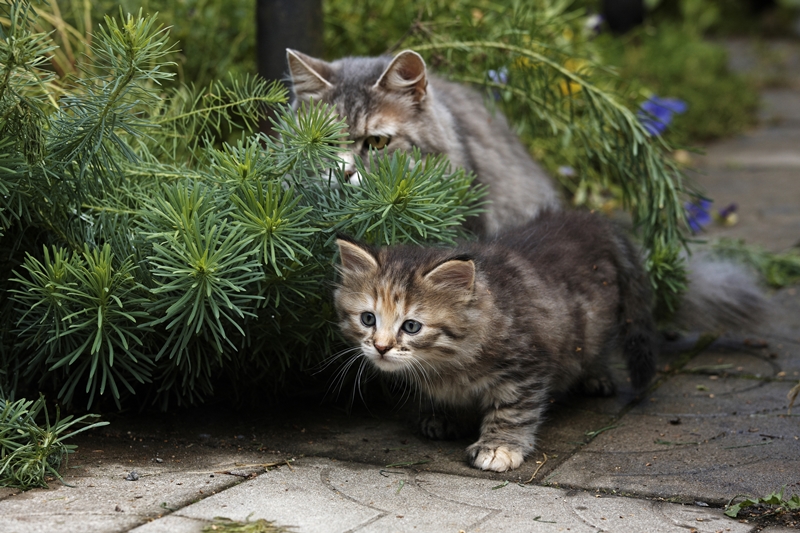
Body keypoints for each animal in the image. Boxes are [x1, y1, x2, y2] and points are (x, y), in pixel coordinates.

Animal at [332, 208, 656, 470]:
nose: (381, 347)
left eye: (411, 326)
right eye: (368, 319)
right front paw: (447, 416)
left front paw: (499, 447)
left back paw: (595, 376)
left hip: (595, 326)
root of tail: (588, 217)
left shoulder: (526, 368)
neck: (450, 361)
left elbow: (512, 412)